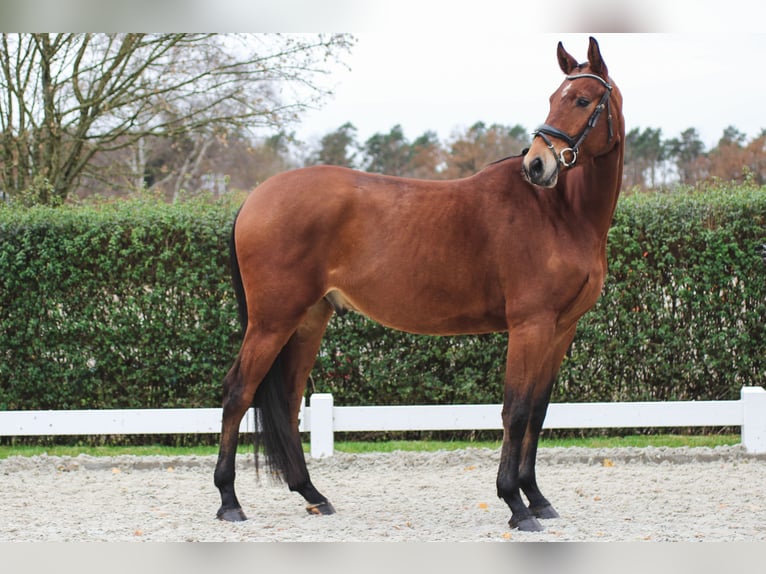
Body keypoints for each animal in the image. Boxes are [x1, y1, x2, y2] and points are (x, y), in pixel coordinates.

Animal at [214, 38, 624, 536]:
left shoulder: (561, 329)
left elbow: (538, 411)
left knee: (289, 401)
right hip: (272, 321)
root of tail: (255, 198)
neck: (560, 213)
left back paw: (313, 495)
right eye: (554, 98)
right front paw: (515, 503)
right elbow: (516, 410)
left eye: (581, 100)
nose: (537, 165)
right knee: (238, 392)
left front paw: (538, 498)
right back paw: (229, 501)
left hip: (308, 320)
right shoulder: (531, 326)